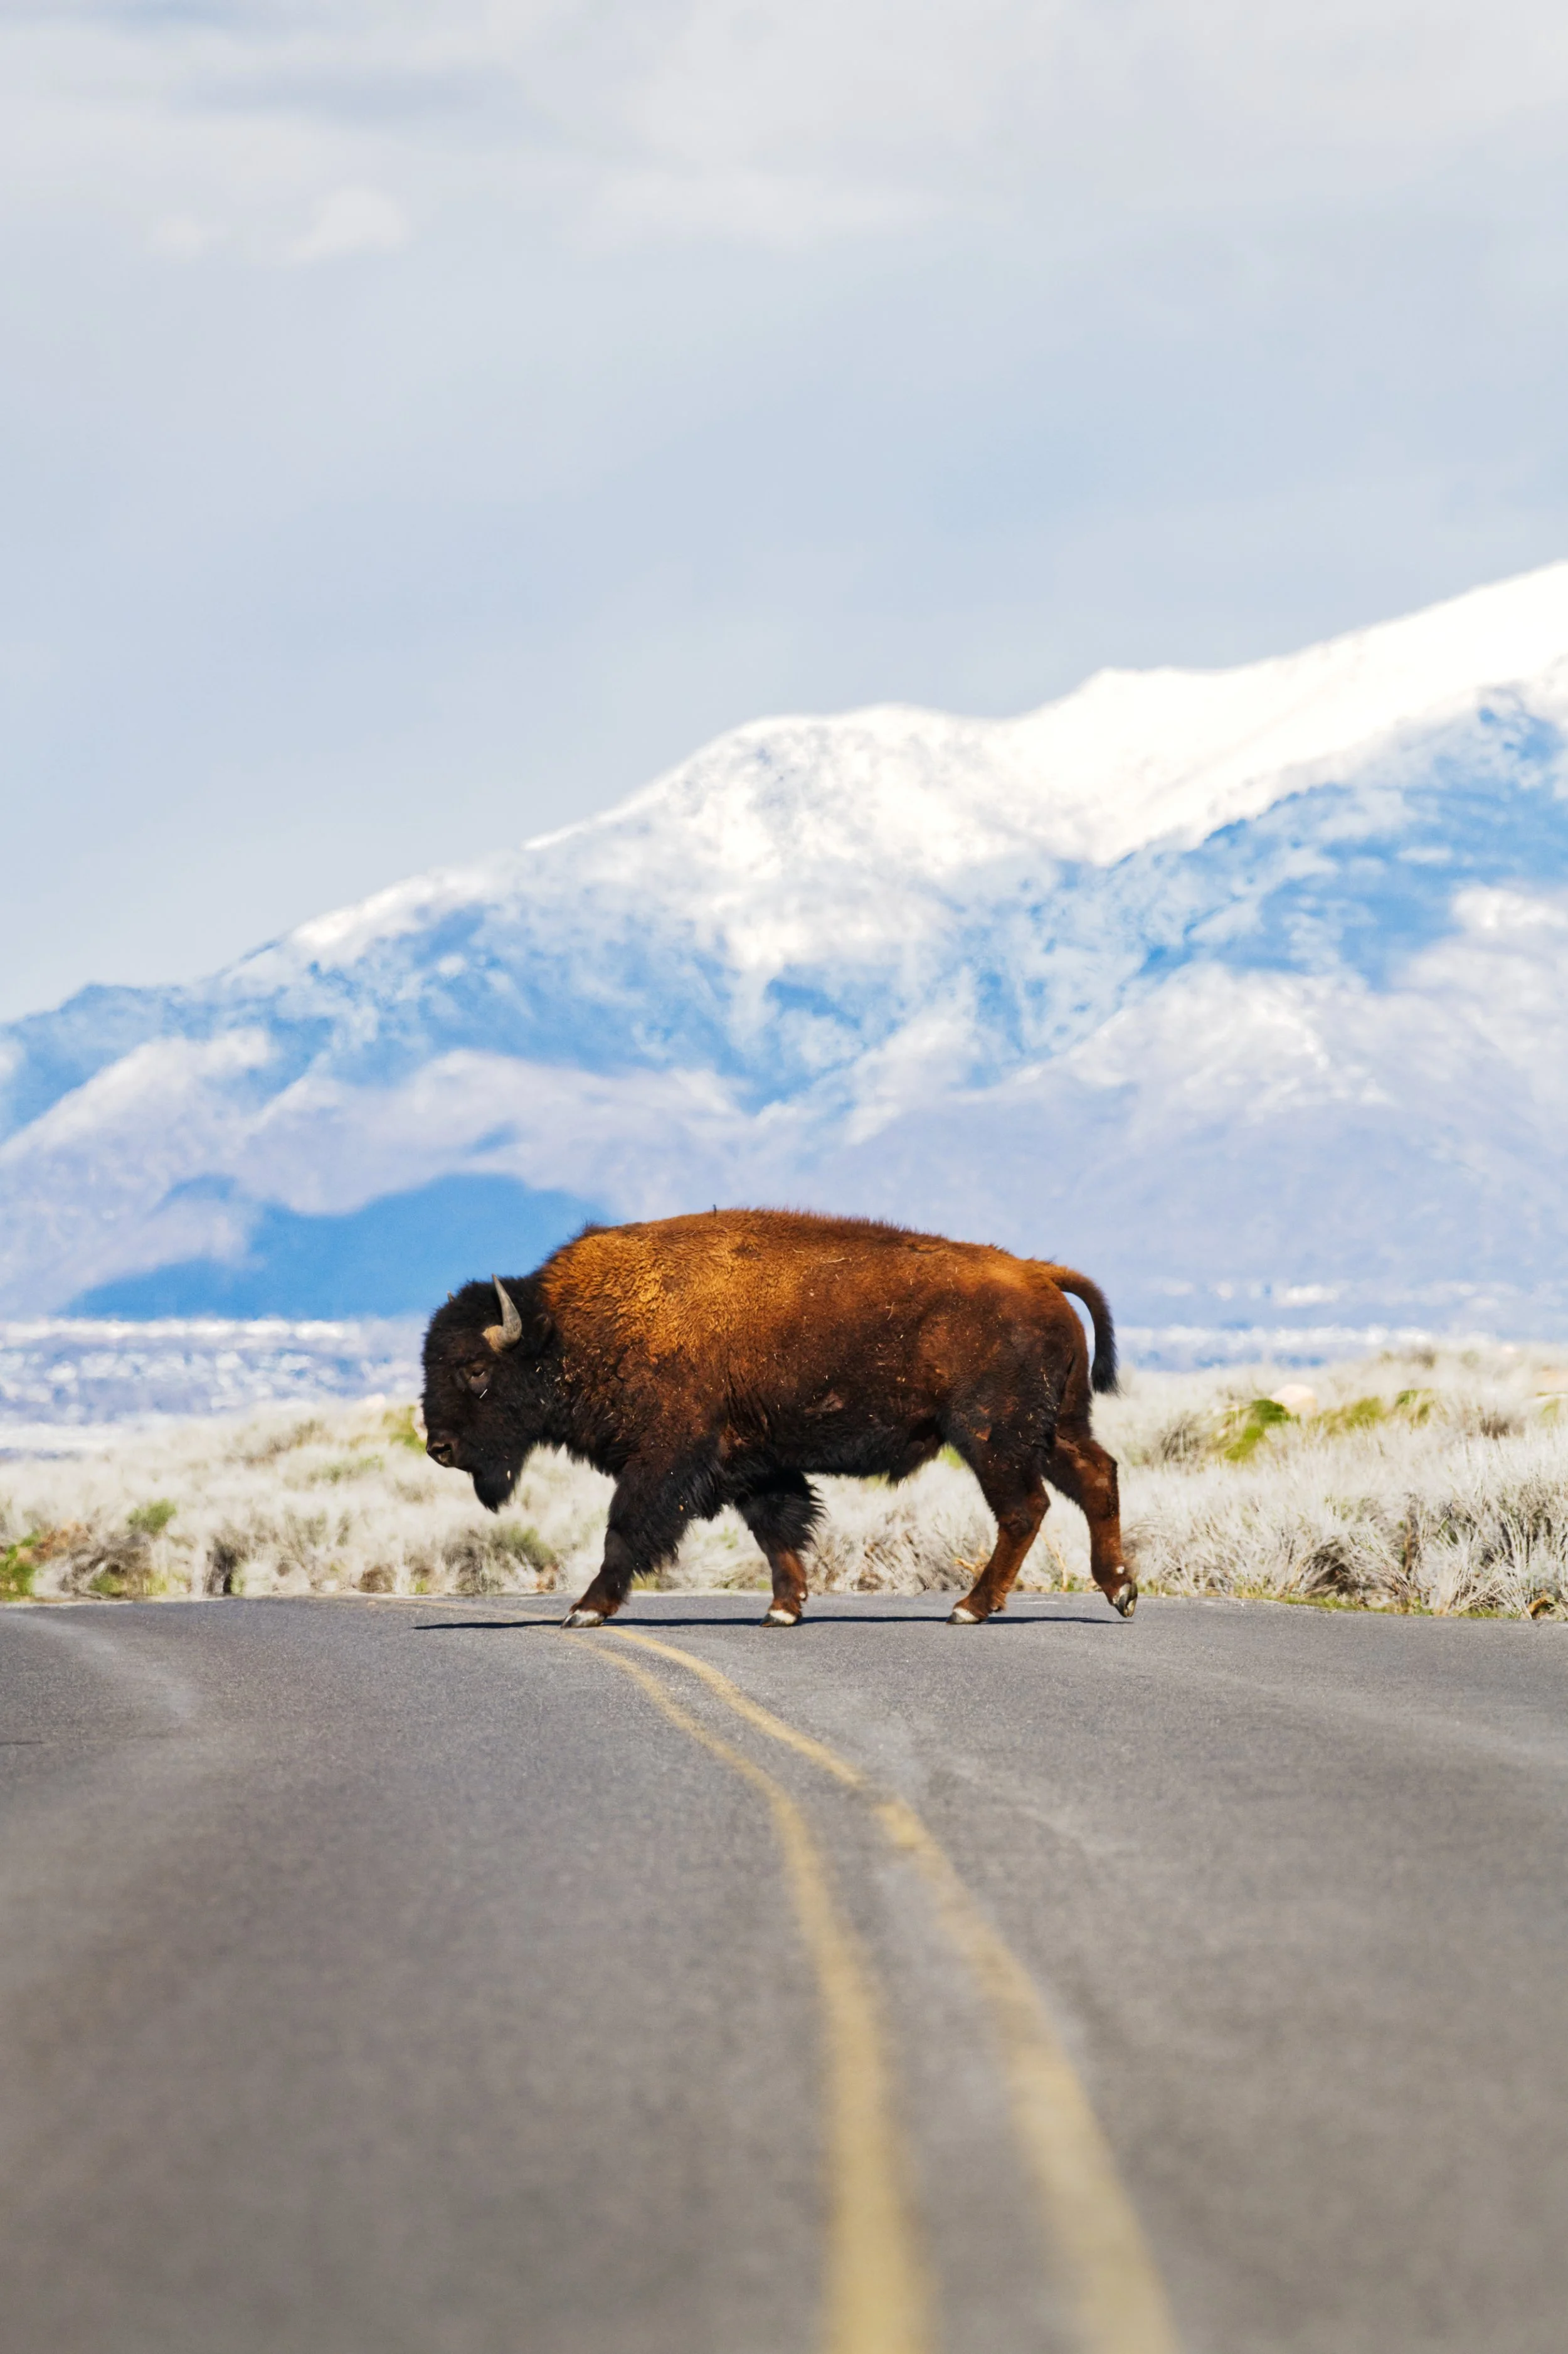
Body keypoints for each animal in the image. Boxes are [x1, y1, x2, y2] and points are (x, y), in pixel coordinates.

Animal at [421, 1208, 1135, 1627]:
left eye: (476, 1370)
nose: (439, 1448)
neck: (570, 1328)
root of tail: (1038, 1274)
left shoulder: (666, 1460)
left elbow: (624, 1530)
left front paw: (586, 1610)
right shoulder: (752, 1461)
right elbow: (777, 1529)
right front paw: (784, 1609)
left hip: (992, 1435)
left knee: (1023, 1509)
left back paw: (971, 1607)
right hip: (1052, 1429)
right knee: (1095, 1479)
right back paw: (1120, 1591)